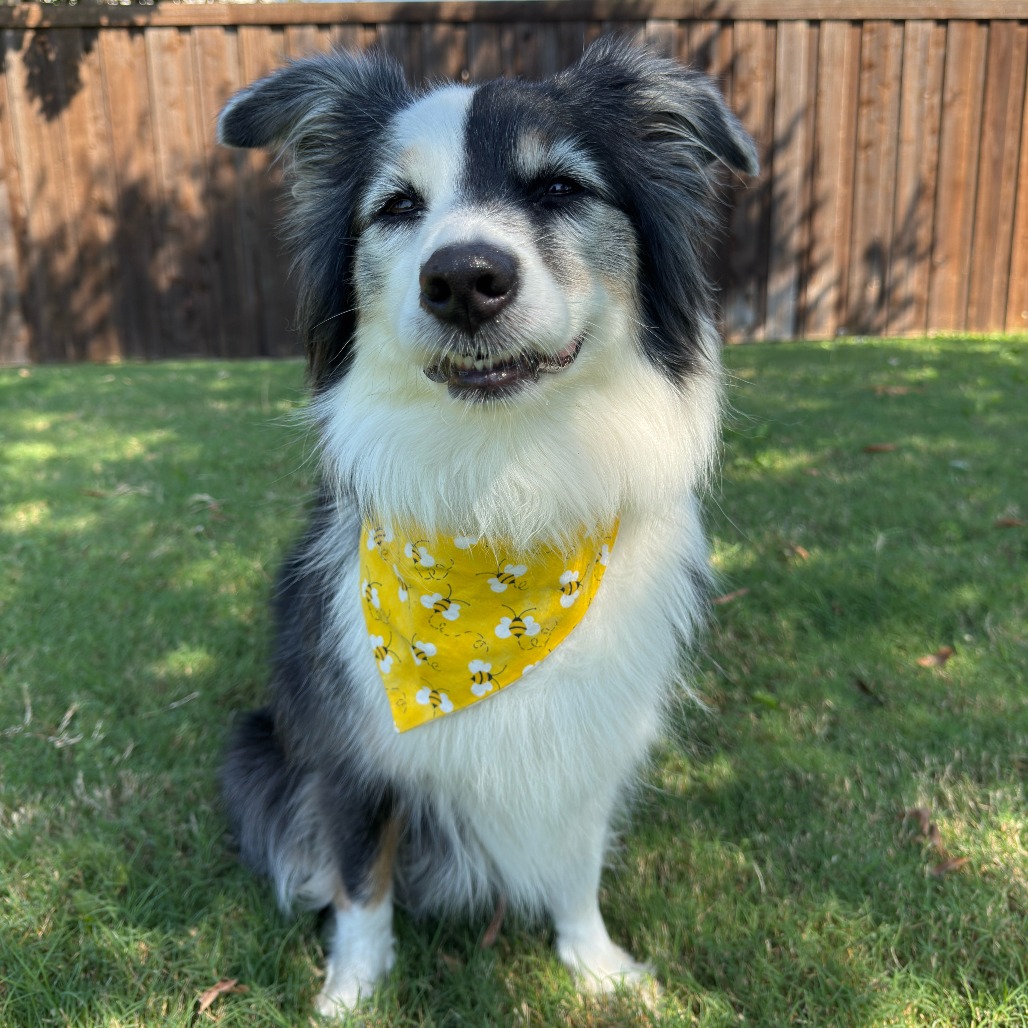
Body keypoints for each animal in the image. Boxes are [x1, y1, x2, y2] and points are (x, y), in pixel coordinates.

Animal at [218, 37, 757, 1016]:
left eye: (560, 189)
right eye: (397, 207)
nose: (463, 280)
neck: (503, 487)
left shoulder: (591, 732)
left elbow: (577, 859)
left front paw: (595, 963)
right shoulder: (350, 748)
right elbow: (363, 876)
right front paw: (354, 988)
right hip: (254, 746)